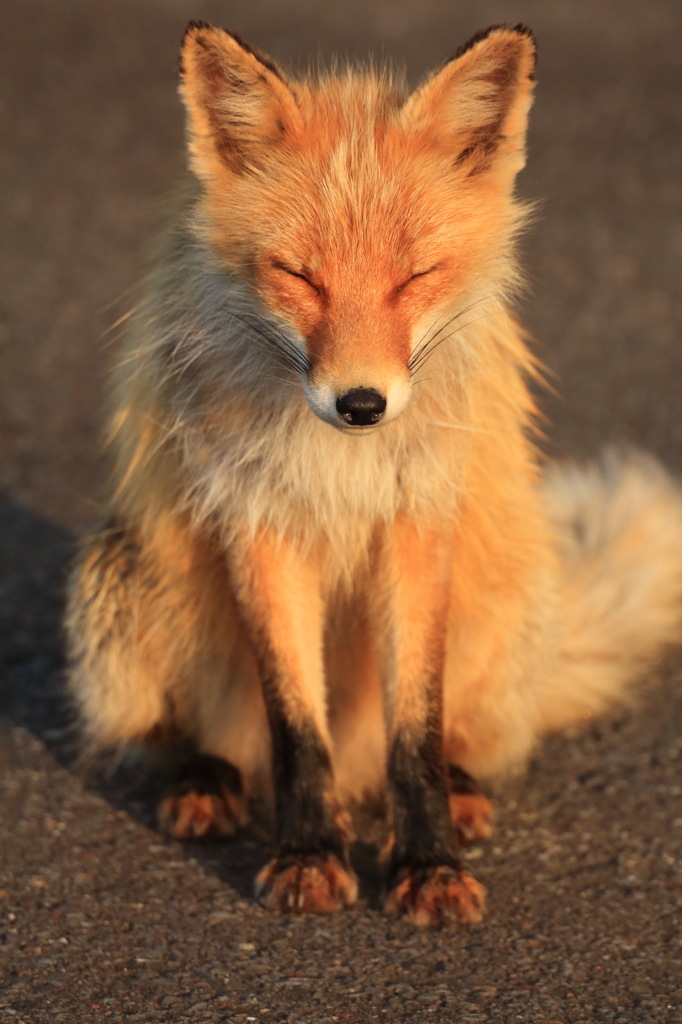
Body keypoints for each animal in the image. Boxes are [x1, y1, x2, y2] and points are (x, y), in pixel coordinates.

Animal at [66, 22, 679, 929]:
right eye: (299, 276)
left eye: (414, 277)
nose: (361, 404)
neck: (341, 468)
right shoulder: (259, 521)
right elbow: (295, 728)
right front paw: (309, 853)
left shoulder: (418, 521)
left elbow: (416, 730)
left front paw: (428, 862)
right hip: (126, 576)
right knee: (220, 733)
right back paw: (212, 780)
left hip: (516, 590)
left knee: (453, 739)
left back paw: (456, 796)